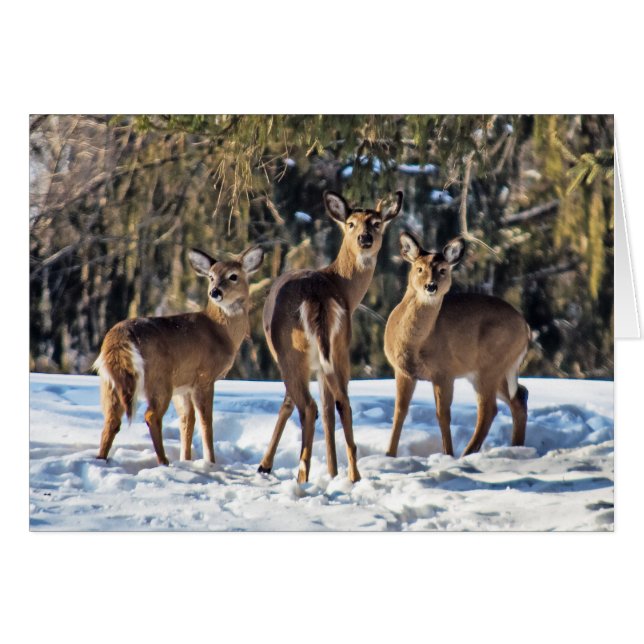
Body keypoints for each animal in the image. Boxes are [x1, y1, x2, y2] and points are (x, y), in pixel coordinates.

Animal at [94, 245, 264, 466]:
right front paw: (210, 462)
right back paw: (163, 461)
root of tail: (118, 338)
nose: (215, 292)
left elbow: (187, 421)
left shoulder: (183, 386)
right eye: (211, 277)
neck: (220, 333)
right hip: (159, 378)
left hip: (110, 382)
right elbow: (205, 421)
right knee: (151, 416)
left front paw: (186, 459)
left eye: (233, 276)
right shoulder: (204, 376)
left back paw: (101, 459)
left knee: (111, 419)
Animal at [258, 190, 403, 483]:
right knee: (342, 403)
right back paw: (353, 475)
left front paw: (265, 465)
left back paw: (302, 475)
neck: (342, 285)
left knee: (309, 406)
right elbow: (329, 411)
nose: (365, 238)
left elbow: (290, 403)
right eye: (351, 224)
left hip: (292, 353)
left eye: (377, 223)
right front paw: (334, 471)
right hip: (339, 347)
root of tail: (317, 298)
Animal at [384, 232, 530, 458]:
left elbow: (442, 415)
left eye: (443, 270)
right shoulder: (403, 371)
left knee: (488, 408)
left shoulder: (444, 372)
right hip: (496, 370)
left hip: (490, 365)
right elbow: (400, 412)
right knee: (519, 395)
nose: (431, 286)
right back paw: (515, 447)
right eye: (420, 268)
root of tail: (525, 326)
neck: (413, 344)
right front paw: (388, 455)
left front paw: (447, 454)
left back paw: (467, 453)